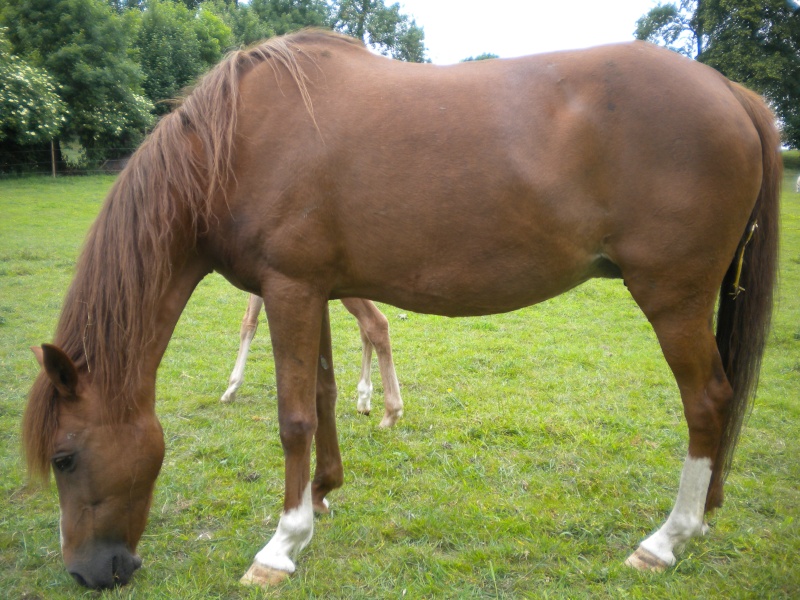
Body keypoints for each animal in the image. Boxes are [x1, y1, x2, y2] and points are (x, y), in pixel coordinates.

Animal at [223, 292, 404, 426]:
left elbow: (249, 322)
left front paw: (231, 387)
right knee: (364, 327)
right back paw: (364, 399)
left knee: (376, 323)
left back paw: (391, 413)